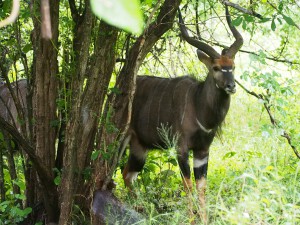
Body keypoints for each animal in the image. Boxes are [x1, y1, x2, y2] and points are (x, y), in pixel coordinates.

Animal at [120, 6, 243, 222]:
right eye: (216, 67)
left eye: (233, 66)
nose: (231, 86)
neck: (198, 106)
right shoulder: (181, 149)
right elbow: (188, 185)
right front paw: (192, 219)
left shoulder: (202, 151)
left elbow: (201, 186)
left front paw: (204, 220)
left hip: (139, 148)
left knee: (128, 174)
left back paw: (140, 208)